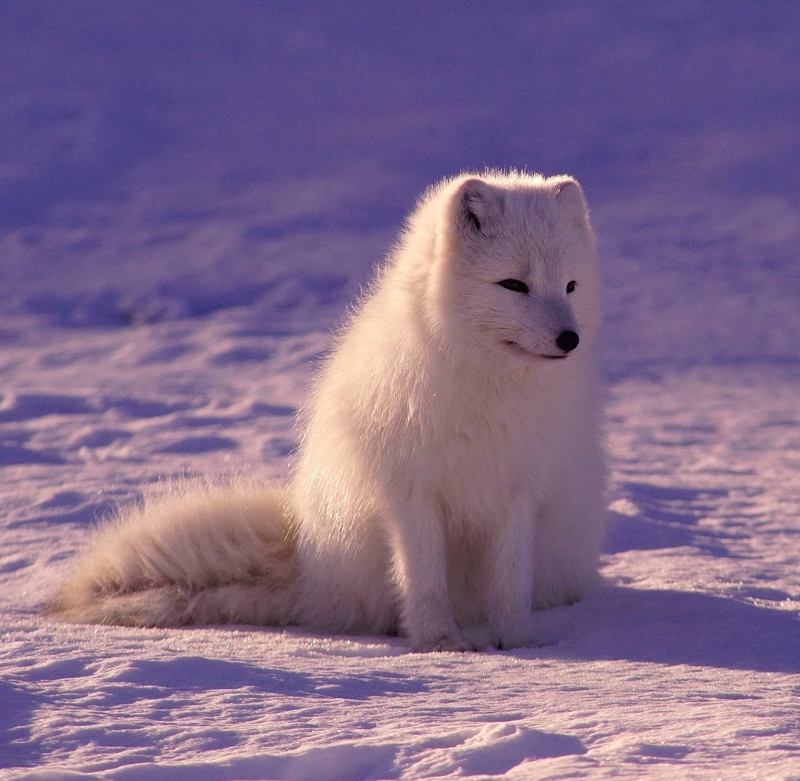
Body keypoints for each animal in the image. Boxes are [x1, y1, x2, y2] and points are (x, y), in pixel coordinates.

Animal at [47, 172, 604, 652]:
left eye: (570, 286)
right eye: (514, 285)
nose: (569, 340)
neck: (489, 388)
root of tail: (310, 568)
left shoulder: (519, 493)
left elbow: (510, 582)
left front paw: (518, 643)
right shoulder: (410, 494)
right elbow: (424, 580)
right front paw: (440, 643)